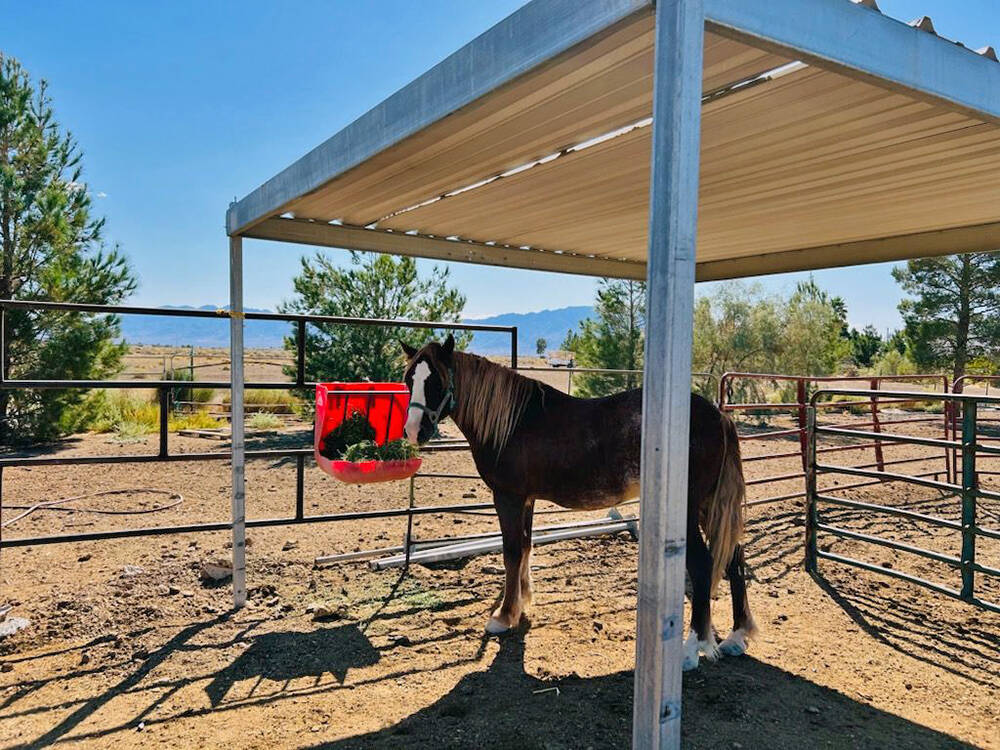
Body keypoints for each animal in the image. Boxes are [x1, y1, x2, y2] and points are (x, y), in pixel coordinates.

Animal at [402, 334, 752, 668]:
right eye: (408, 379)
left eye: (436, 381)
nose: (413, 431)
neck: (514, 422)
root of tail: (718, 417)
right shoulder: (526, 500)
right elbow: (526, 547)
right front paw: (523, 605)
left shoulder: (508, 497)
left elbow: (512, 553)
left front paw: (503, 616)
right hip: (709, 506)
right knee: (734, 557)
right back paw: (736, 637)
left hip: (689, 508)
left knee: (703, 563)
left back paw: (692, 650)